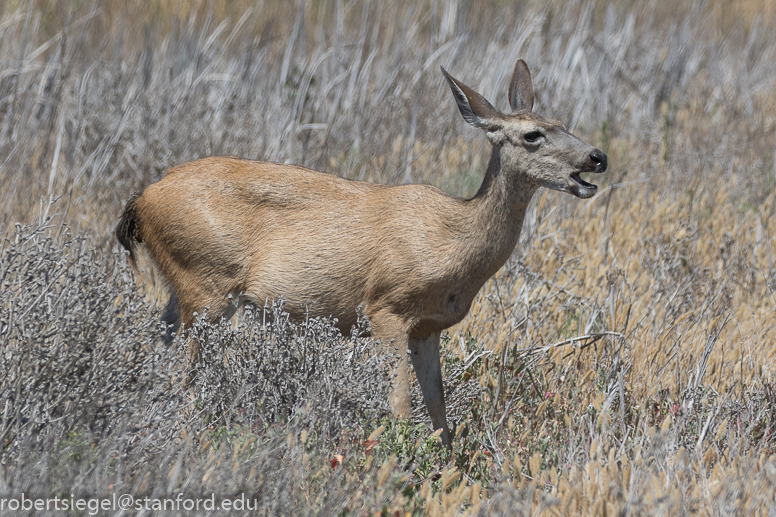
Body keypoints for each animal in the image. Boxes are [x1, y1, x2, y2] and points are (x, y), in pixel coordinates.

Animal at [115, 58, 608, 446]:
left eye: (563, 123)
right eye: (533, 135)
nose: (597, 157)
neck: (454, 239)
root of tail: (141, 199)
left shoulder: (428, 326)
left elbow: (439, 411)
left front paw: (447, 470)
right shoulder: (386, 307)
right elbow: (401, 404)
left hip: (184, 288)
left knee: (158, 349)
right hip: (208, 285)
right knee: (184, 373)